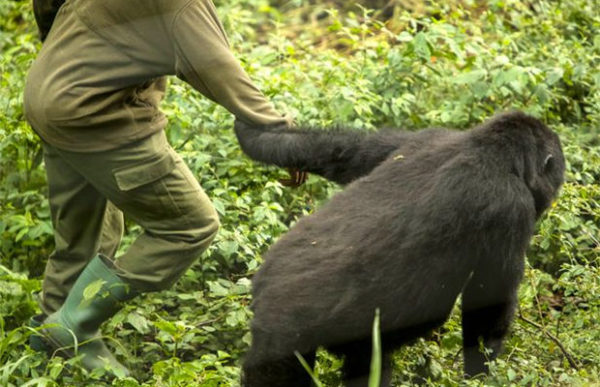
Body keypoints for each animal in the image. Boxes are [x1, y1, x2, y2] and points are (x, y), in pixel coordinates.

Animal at [232, 110, 564, 386]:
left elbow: (344, 151)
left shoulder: (424, 137)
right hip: (283, 331)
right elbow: (488, 309)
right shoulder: (510, 208)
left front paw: (257, 135)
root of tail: (261, 291)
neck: (489, 149)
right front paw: (480, 376)